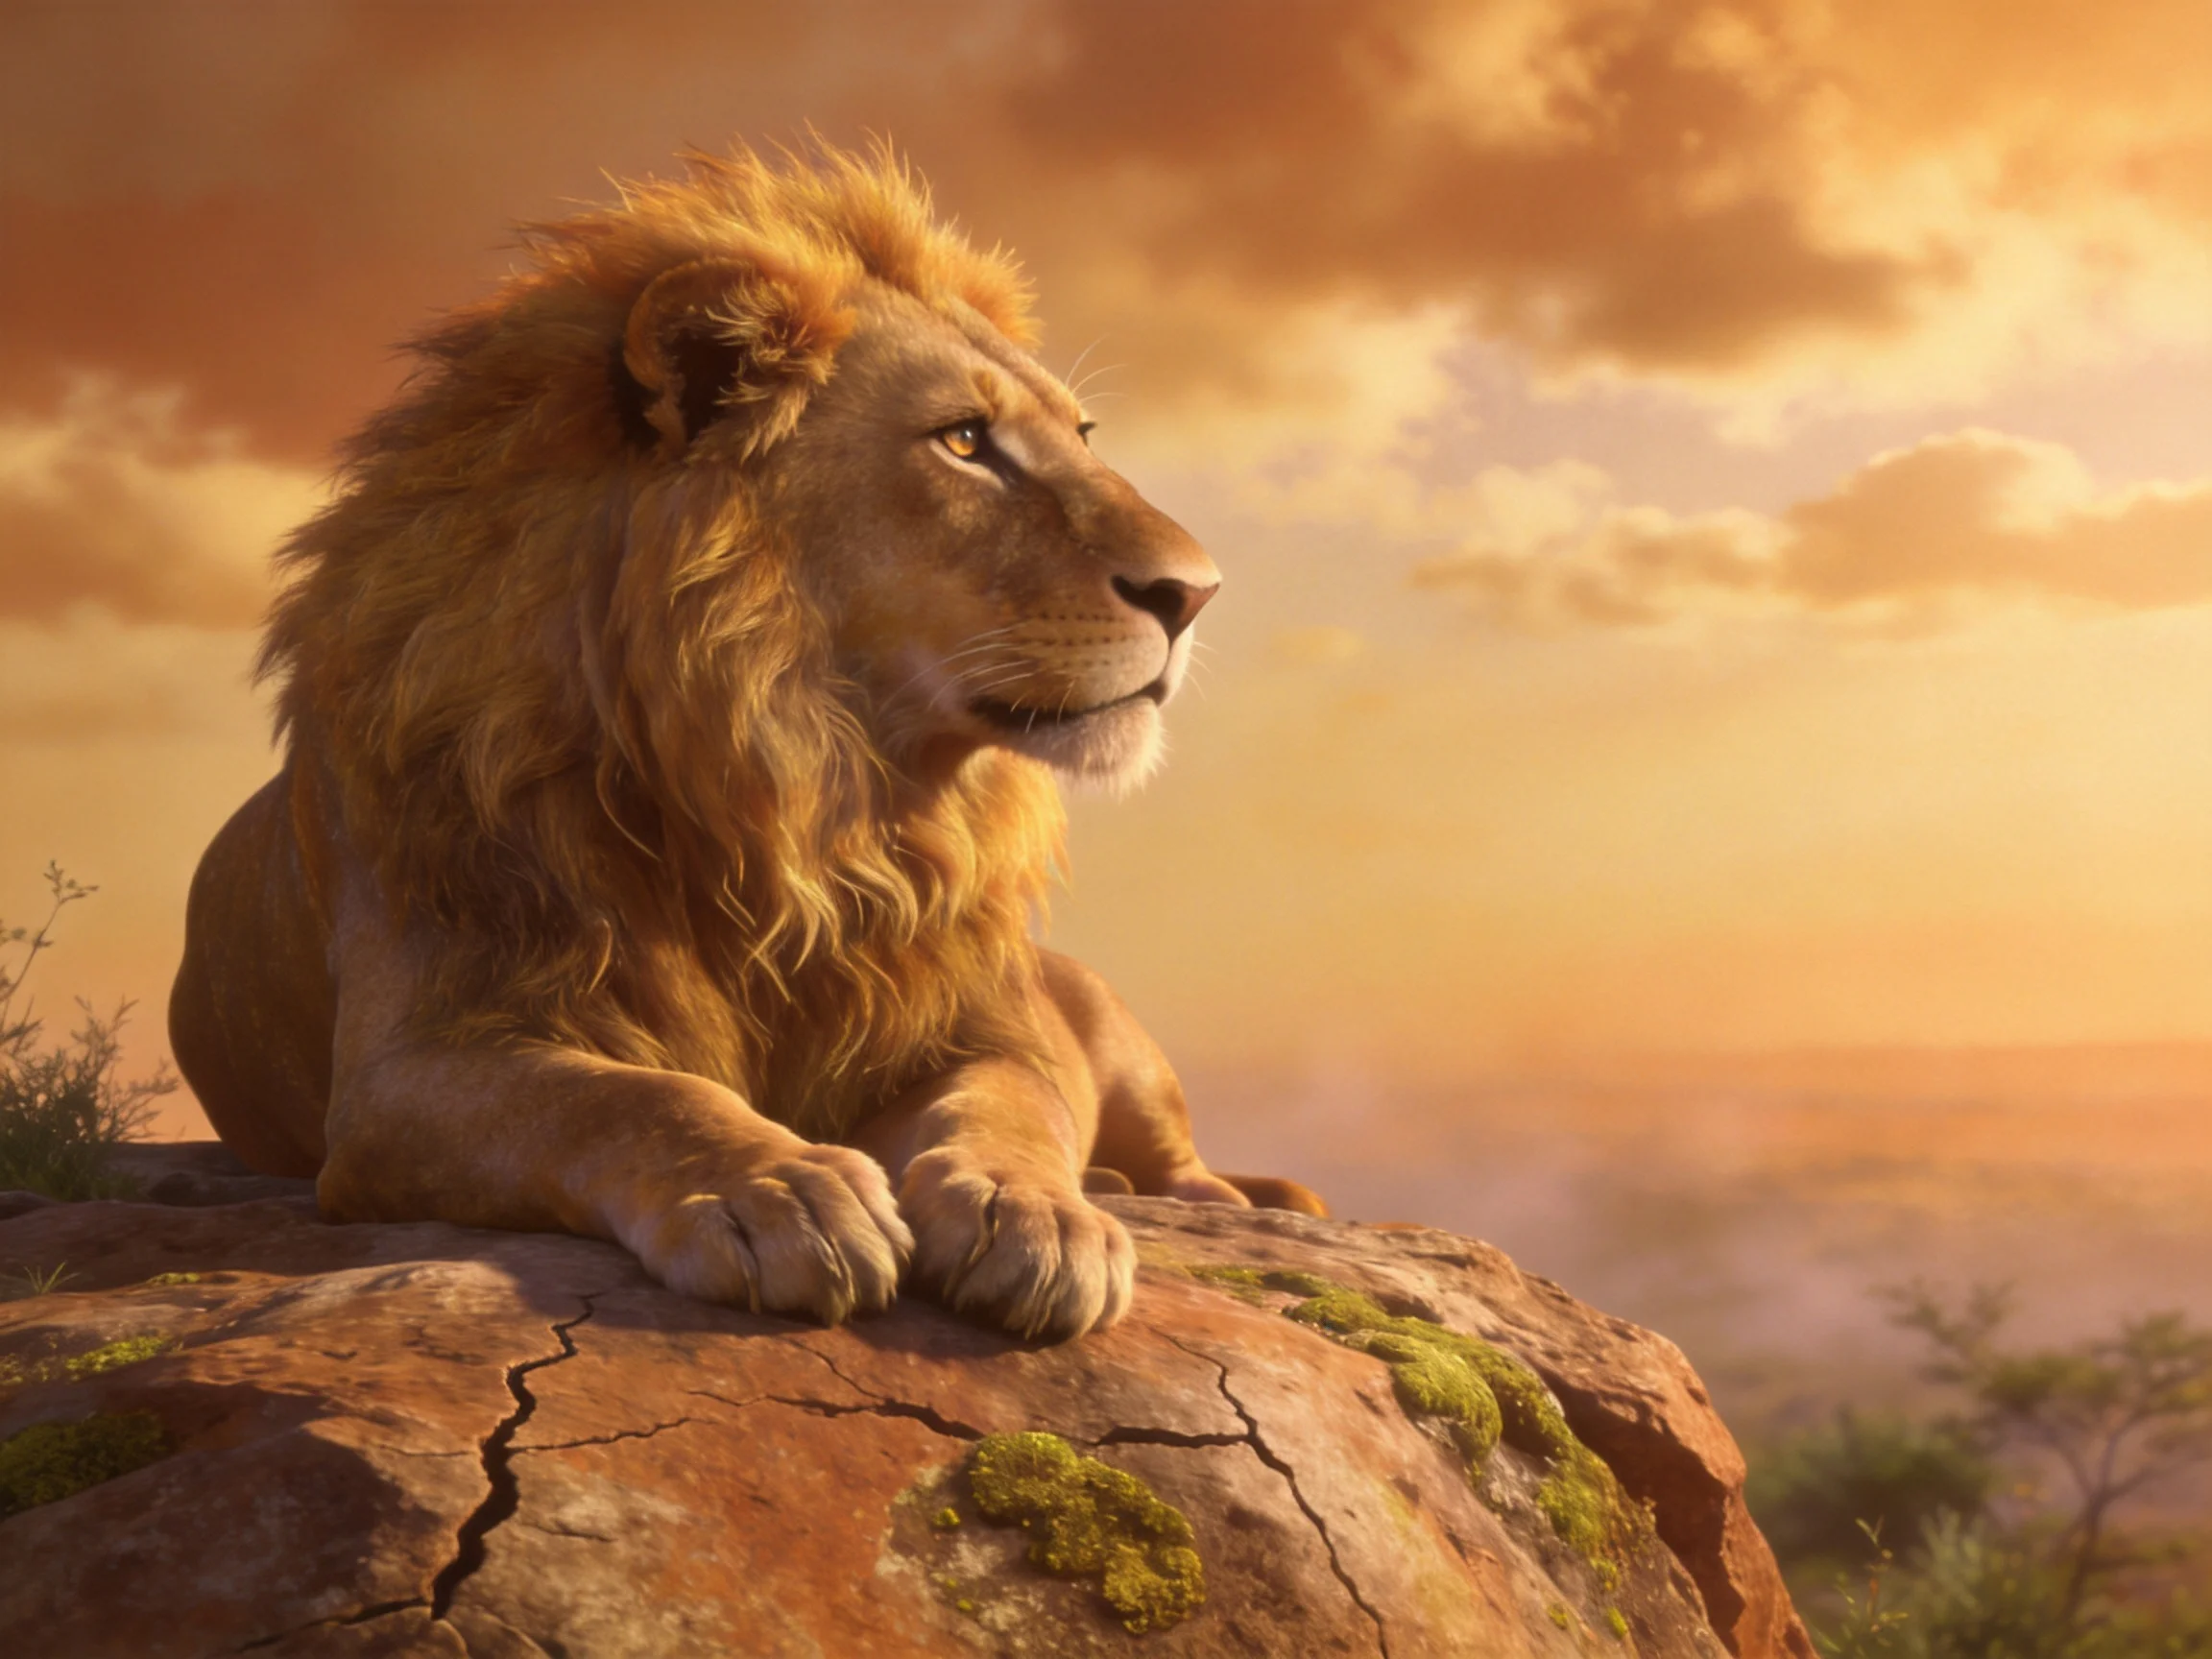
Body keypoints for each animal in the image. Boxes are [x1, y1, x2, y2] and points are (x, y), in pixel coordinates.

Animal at [168, 143, 1324, 1344]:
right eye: (965, 441)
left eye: (1083, 437)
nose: (1198, 593)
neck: (801, 794)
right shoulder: (411, 1068)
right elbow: (622, 1095)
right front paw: (777, 1193)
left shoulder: (988, 1026)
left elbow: (1009, 1107)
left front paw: (1036, 1214)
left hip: (1116, 1035)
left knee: (1187, 1165)